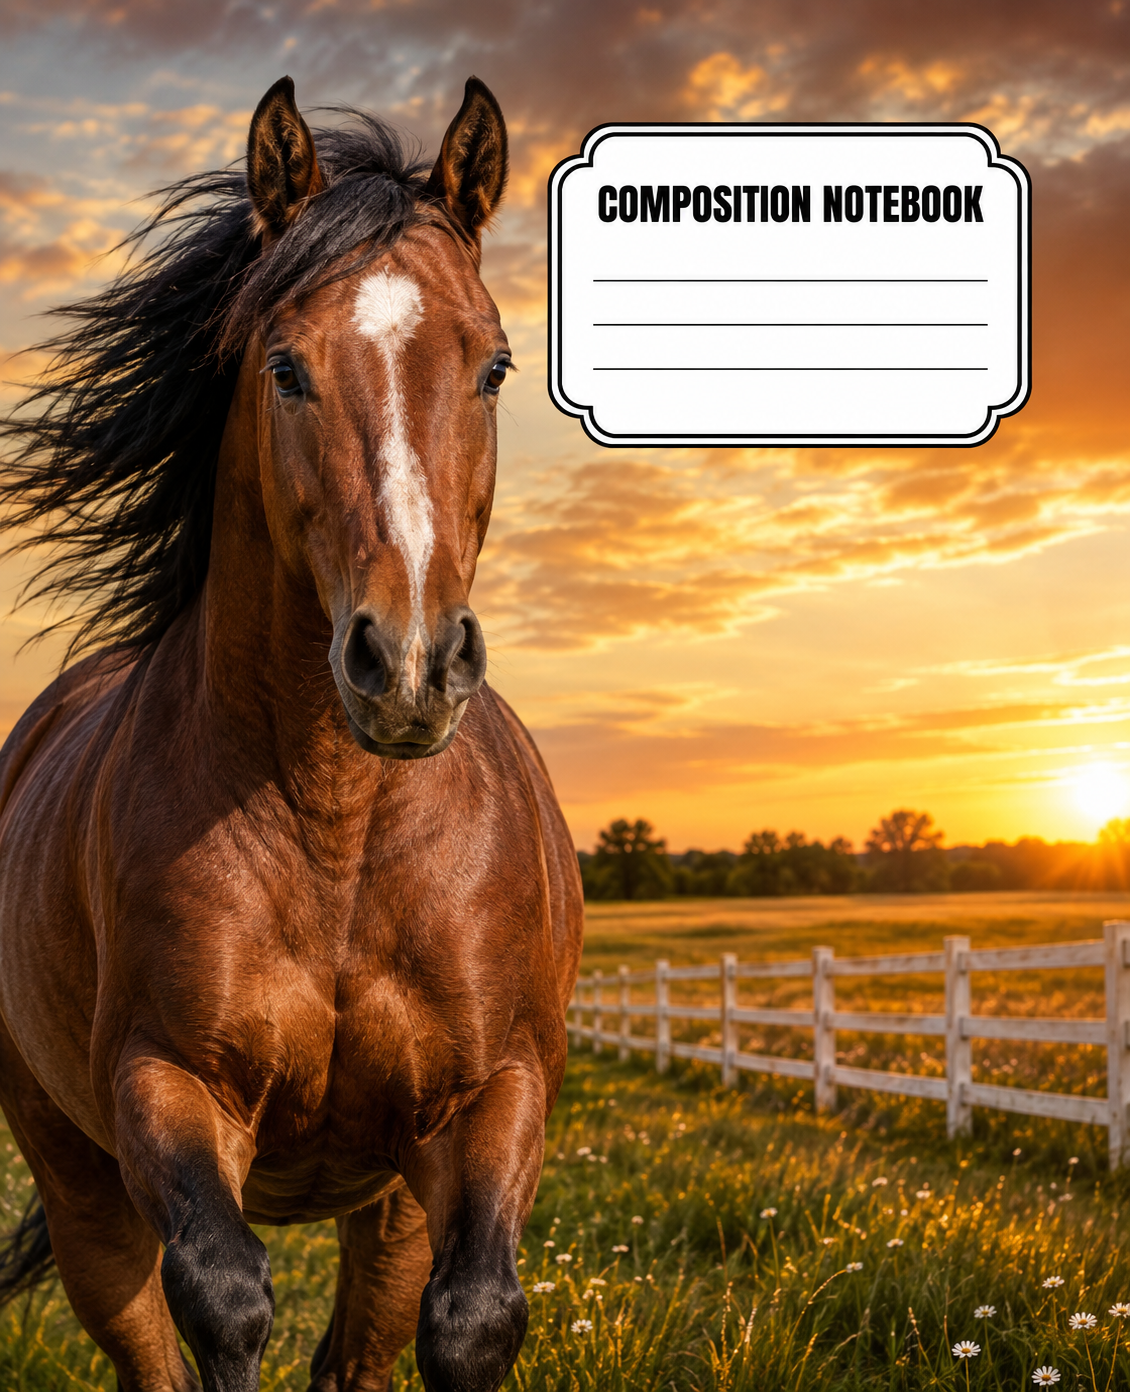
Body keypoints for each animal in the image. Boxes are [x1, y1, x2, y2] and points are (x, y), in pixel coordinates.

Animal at [0, 75, 583, 1392]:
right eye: (284, 367)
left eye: (494, 366)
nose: (408, 665)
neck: (338, 827)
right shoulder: (167, 1085)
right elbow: (224, 1302)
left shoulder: (491, 1096)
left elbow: (470, 1320)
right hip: (78, 1181)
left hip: (395, 1203)